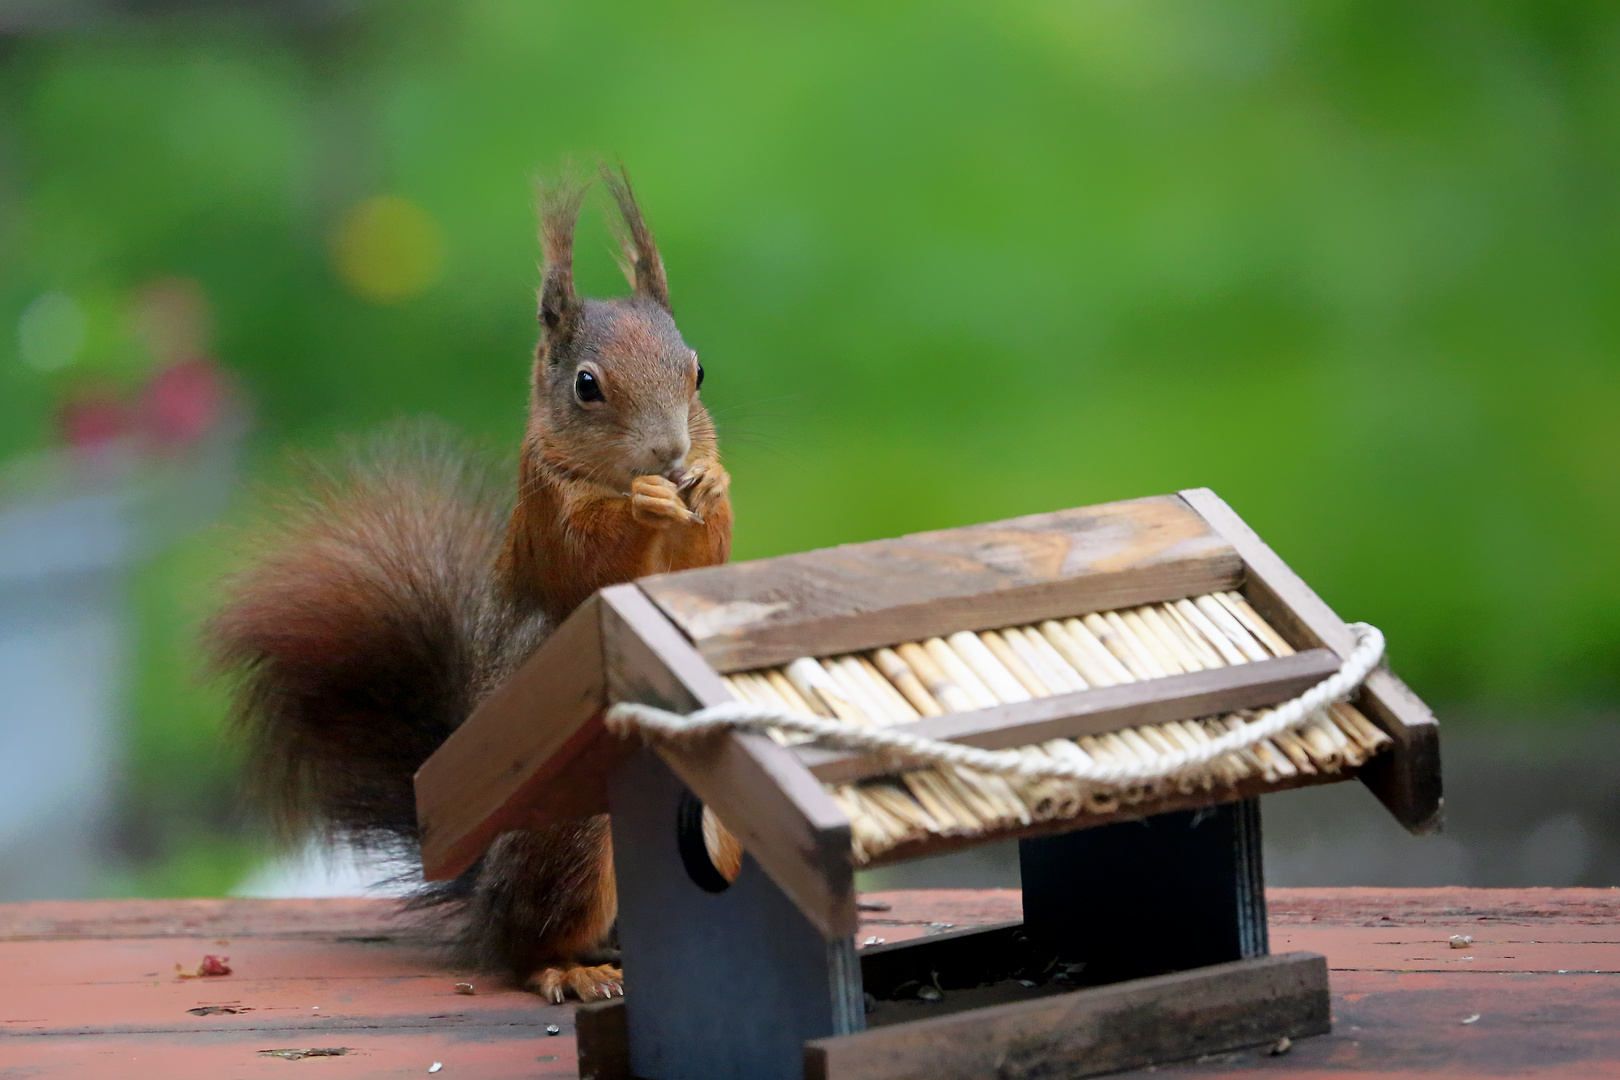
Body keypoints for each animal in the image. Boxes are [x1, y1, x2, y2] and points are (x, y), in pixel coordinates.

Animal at [208, 165, 735, 1003]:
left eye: (698, 370)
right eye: (587, 386)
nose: (669, 453)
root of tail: (479, 887)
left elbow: (703, 563)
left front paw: (709, 485)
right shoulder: (548, 518)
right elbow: (592, 564)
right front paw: (646, 503)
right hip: (572, 833)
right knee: (520, 948)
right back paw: (569, 968)